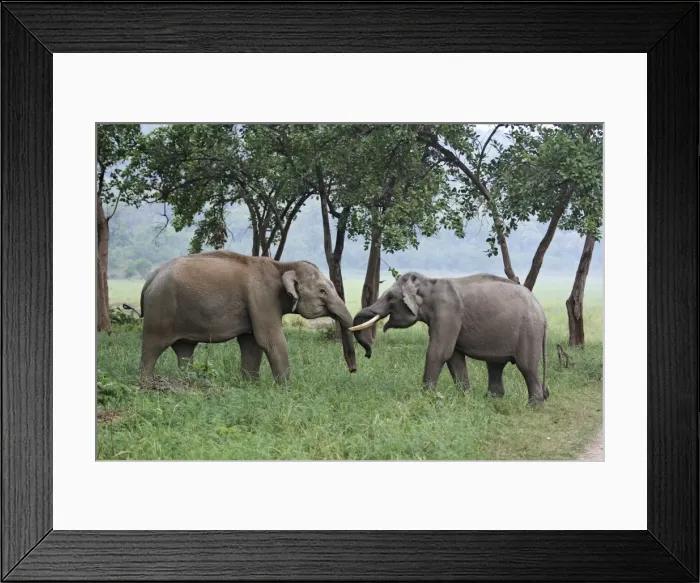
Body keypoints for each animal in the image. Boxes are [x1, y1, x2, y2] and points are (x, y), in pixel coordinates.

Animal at [123, 251, 357, 384]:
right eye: (322, 291)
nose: (352, 369)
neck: (282, 265)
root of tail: (151, 278)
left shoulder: (257, 303)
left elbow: (251, 343)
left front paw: (250, 385)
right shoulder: (262, 297)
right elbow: (270, 341)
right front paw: (286, 388)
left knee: (184, 349)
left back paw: (185, 381)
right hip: (160, 309)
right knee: (153, 346)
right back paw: (146, 384)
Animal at [349, 272, 549, 405]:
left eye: (390, 297)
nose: (367, 354)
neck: (429, 282)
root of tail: (541, 310)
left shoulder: (447, 312)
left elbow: (439, 352)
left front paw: (425, 398)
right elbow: (454, 357)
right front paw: (465, 398)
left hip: (529, 331)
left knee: (526, 366)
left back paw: (533, 406)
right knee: (495, 365)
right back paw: (491, 400)